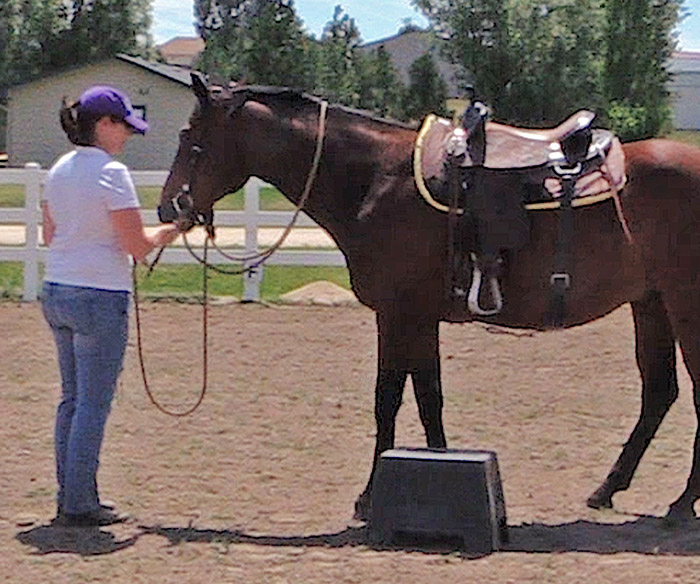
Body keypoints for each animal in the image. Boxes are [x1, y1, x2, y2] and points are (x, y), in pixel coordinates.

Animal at [158, 72, 700, 523]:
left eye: (190, 137)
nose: (169, 206)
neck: (377, 179)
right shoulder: (418, 318)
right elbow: (428, 399)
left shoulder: (398, 314)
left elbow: (389, 400)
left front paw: (370, 497)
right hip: (651, 303)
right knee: (659, 393)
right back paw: (609, 489)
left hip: (683, 305)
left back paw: (680, 504)